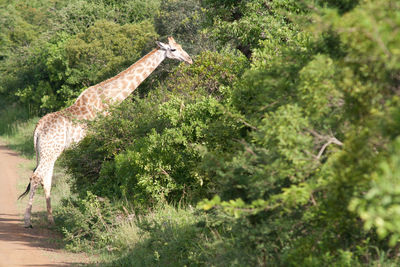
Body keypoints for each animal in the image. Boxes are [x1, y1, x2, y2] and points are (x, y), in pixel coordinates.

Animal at [18, 36, 192, 228]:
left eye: (180, 46)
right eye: (173, 50)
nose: (189, 59)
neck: (111, 98)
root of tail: (37, 129)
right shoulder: (100, 138)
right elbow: (100, 169)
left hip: (47, 152)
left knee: (46, 179)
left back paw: (51, 219)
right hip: (50, 151)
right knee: (36, 177)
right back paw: (27, 221)